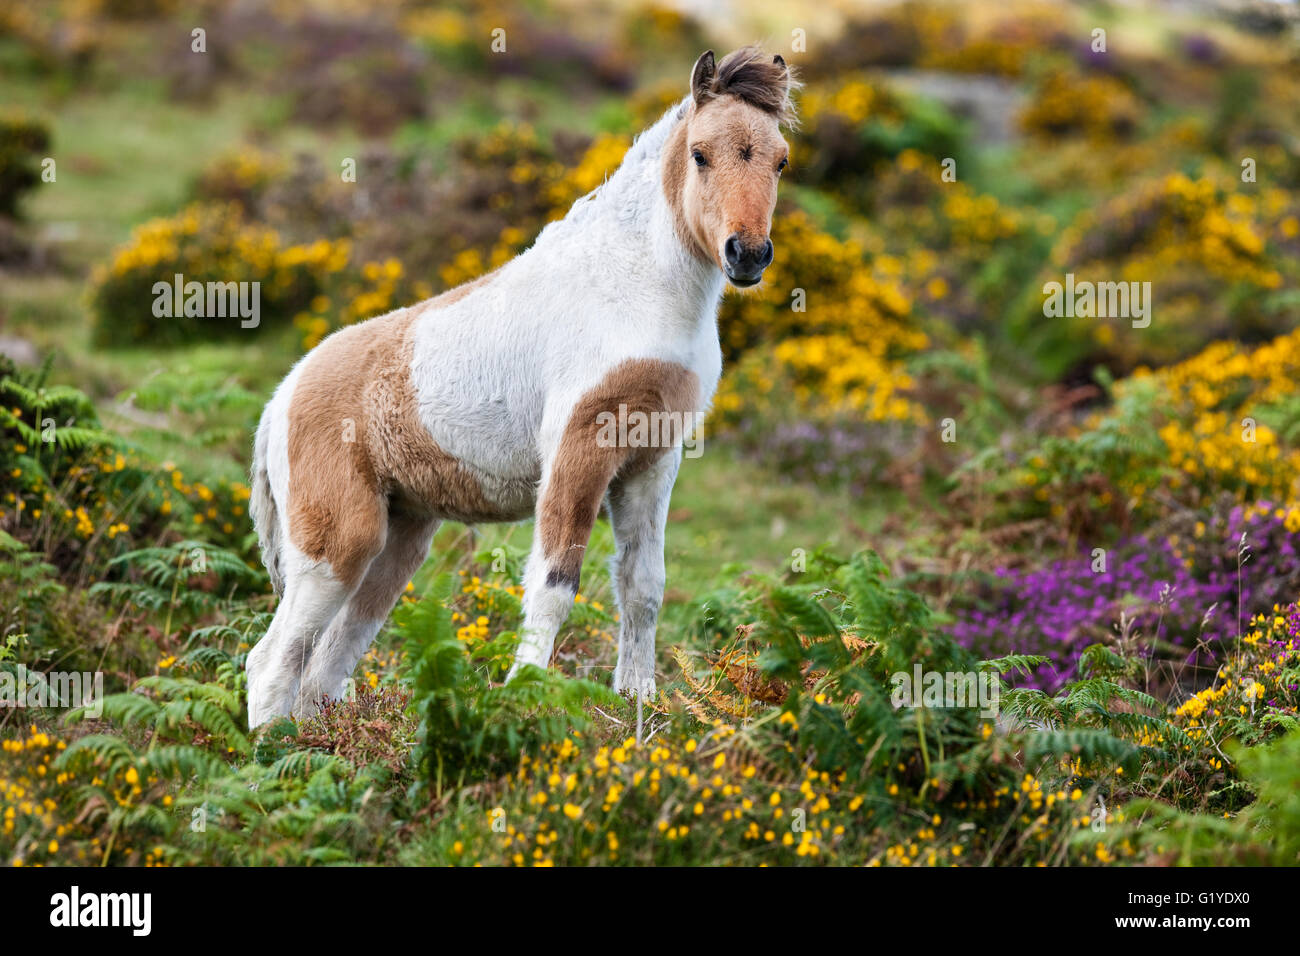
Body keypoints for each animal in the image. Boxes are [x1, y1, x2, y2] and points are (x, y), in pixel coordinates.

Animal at [245, 46, 798, 727]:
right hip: (338, 542)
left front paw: (638, 706)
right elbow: (555, 584)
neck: (635, 286)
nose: (747, 254)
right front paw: (525, 696)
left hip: (400, 540)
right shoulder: (580, 449)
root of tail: (280, 400)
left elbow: (643, 586)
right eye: (700, 153)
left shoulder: (652, 460)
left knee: (325, 662)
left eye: (780, 160)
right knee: (272, 661)